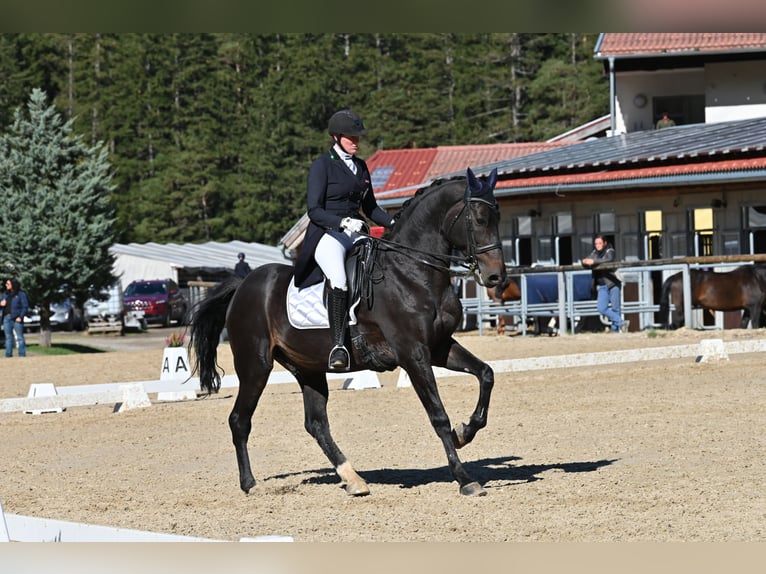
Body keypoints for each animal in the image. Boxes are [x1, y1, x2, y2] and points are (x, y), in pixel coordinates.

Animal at [189, 168, 508, 500]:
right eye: (480, 219)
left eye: (498, 216)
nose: (496, 276)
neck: (411, 272)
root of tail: (243, 284)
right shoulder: (413, 353)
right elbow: (438, 415)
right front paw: (464, 478)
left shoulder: (439, 347)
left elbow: (486, 374)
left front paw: (466, 431)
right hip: (255, 366)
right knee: (240, 420)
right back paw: (250, 484)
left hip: (307, 367)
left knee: (316, 424)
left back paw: (353, 479)